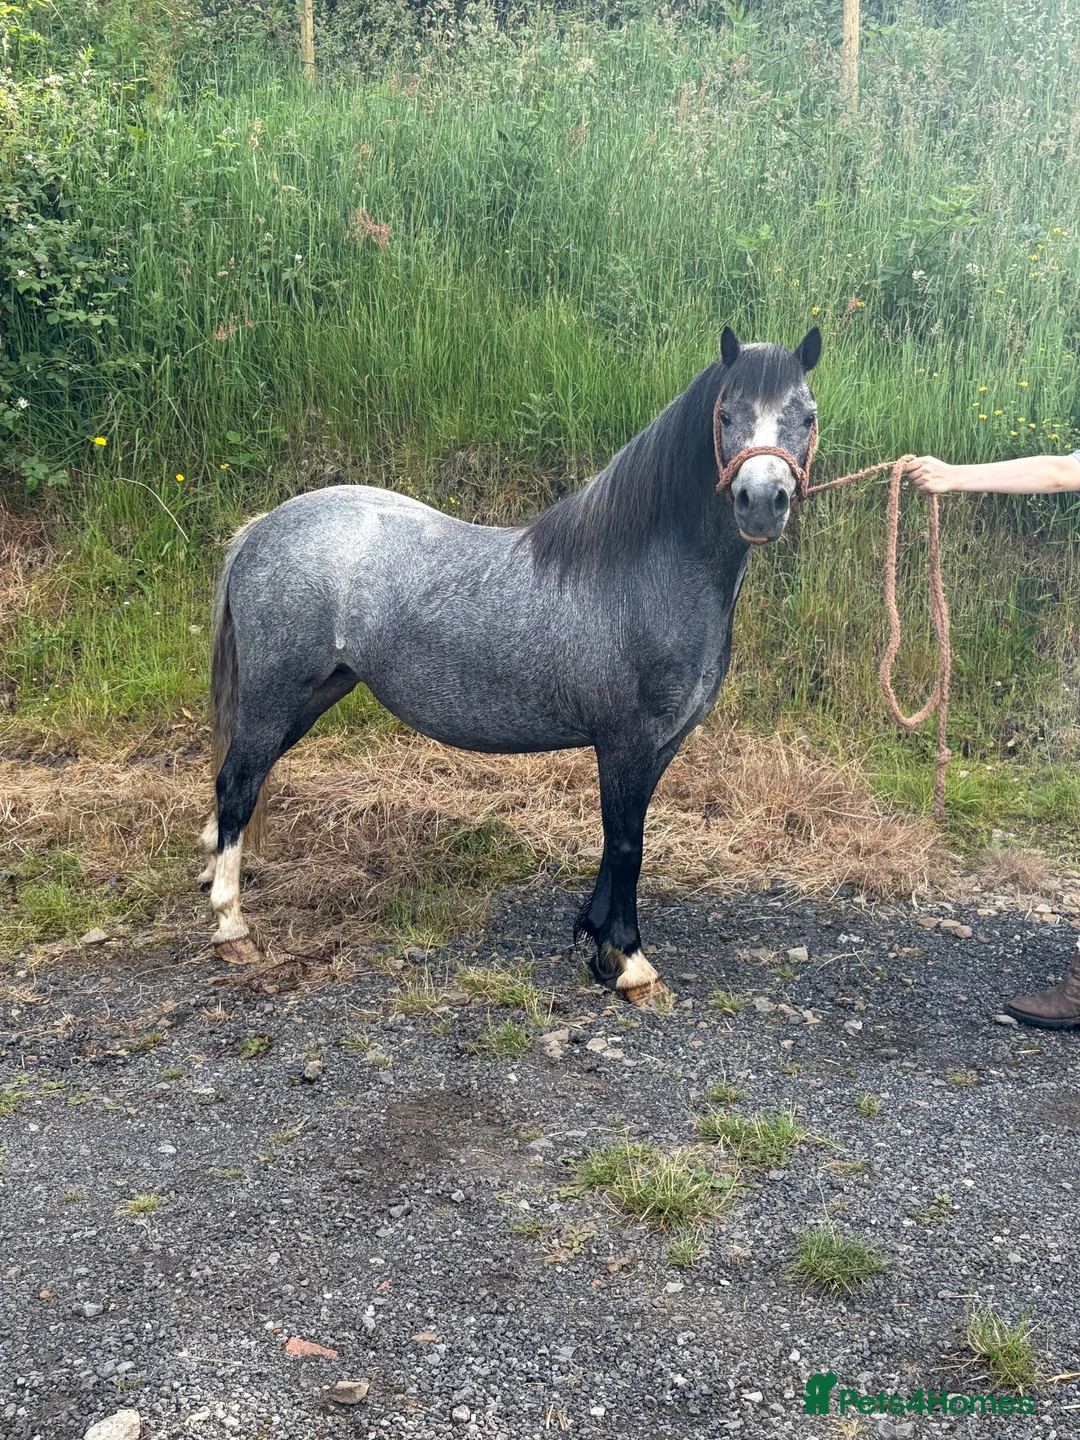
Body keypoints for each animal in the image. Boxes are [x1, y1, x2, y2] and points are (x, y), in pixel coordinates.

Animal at [198, 324, 821, 1005]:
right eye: (726, 414)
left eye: (807, 416)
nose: (761, 502)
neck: (644, 572)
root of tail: (262, 529)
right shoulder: (625, 740)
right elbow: (626, 842)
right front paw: (629, 961)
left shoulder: (659, 744)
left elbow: (619, 841)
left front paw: (596, 939)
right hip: (276, 693)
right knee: (237, 783)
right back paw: (230, 924)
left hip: (312, 695)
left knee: (243, 781)